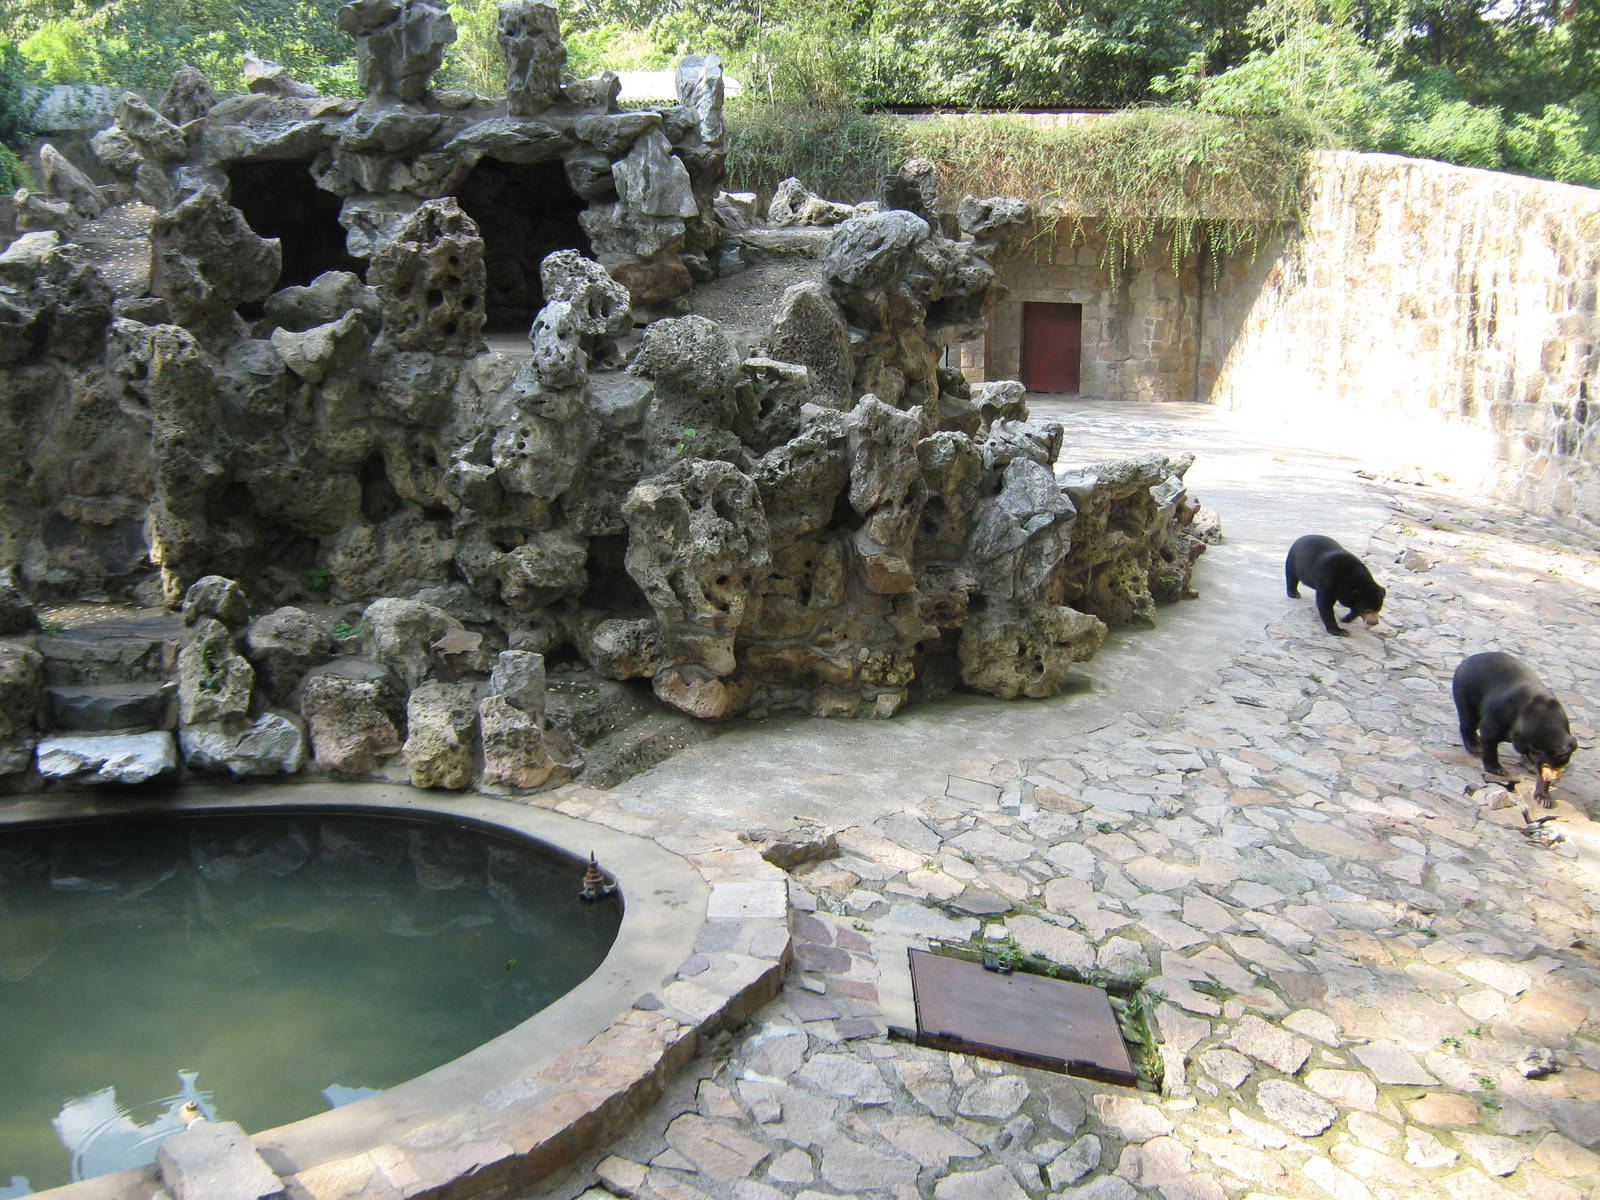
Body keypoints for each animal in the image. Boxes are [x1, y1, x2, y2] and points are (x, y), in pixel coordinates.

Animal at [1452, 651, 1577, 804]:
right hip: (1467, 692)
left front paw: (1543, 798)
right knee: (1469, 720)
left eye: (1562, 764)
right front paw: (1498, 770)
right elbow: (1489, 734)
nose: (1554, 778)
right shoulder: (1503, 714)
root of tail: (1465, 661)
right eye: (1549, 766)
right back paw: (1475, 746)